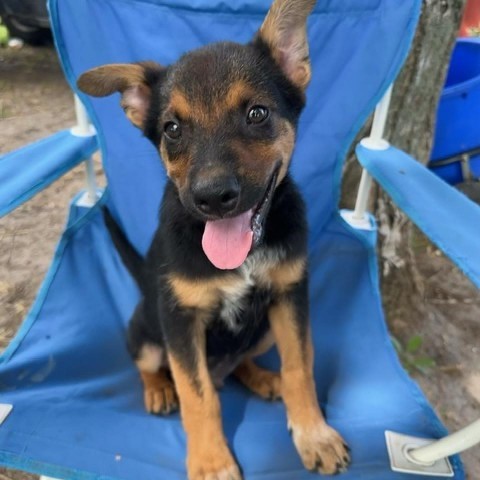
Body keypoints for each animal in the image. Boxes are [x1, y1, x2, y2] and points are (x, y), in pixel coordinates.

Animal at [78, 1, 348, 478]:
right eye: (171, 128)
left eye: (257, 114)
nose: (213, 197)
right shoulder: (180, 321)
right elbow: (197, 395)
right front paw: (210, 461)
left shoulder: (290, 296)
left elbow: (301, 366)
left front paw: (313, 433)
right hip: (146, 333)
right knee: (151, 366)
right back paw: (158, 389)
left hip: (264, 330)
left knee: (241, 361)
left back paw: (262, 378)